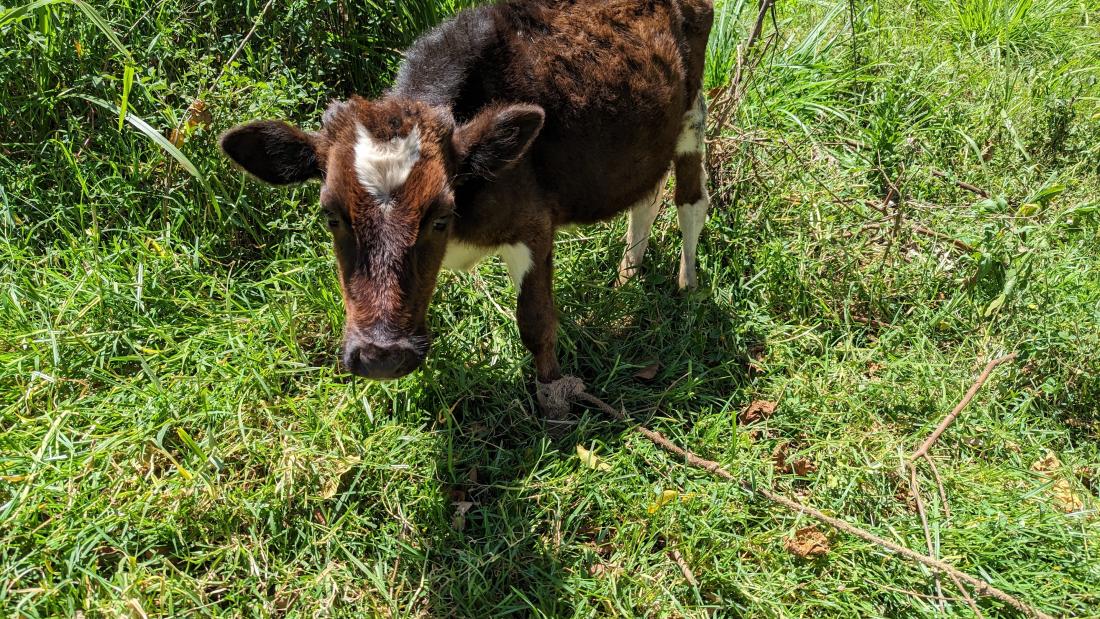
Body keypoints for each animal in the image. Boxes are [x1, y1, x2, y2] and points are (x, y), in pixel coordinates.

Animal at [220, 0, 717, 389]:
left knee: (690, 203)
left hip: (692, 112)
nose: (381, 357)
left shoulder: (534, 225)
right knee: (646, 196)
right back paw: (628, 275)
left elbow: (536, 322)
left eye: (440, 216)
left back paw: (689, 290)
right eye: (331, 216)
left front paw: (555, 401)